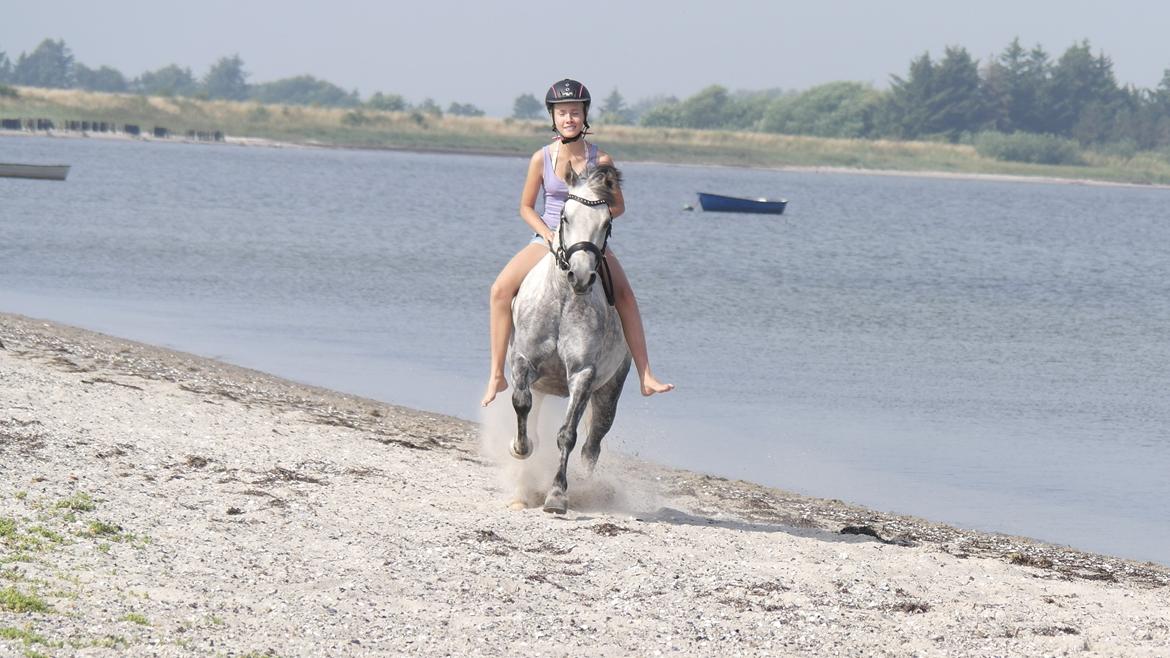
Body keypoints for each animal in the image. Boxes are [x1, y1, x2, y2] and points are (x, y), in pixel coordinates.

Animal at [507, 163, 631, 512]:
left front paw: (557, 495)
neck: (562, 300)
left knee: (592, 445)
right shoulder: (524, 360)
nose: (581, 276)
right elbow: (520, 402)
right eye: (565, 217)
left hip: (608, 392)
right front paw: (519, 448)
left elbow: (567, 435)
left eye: (606, 223)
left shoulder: (582, 374)